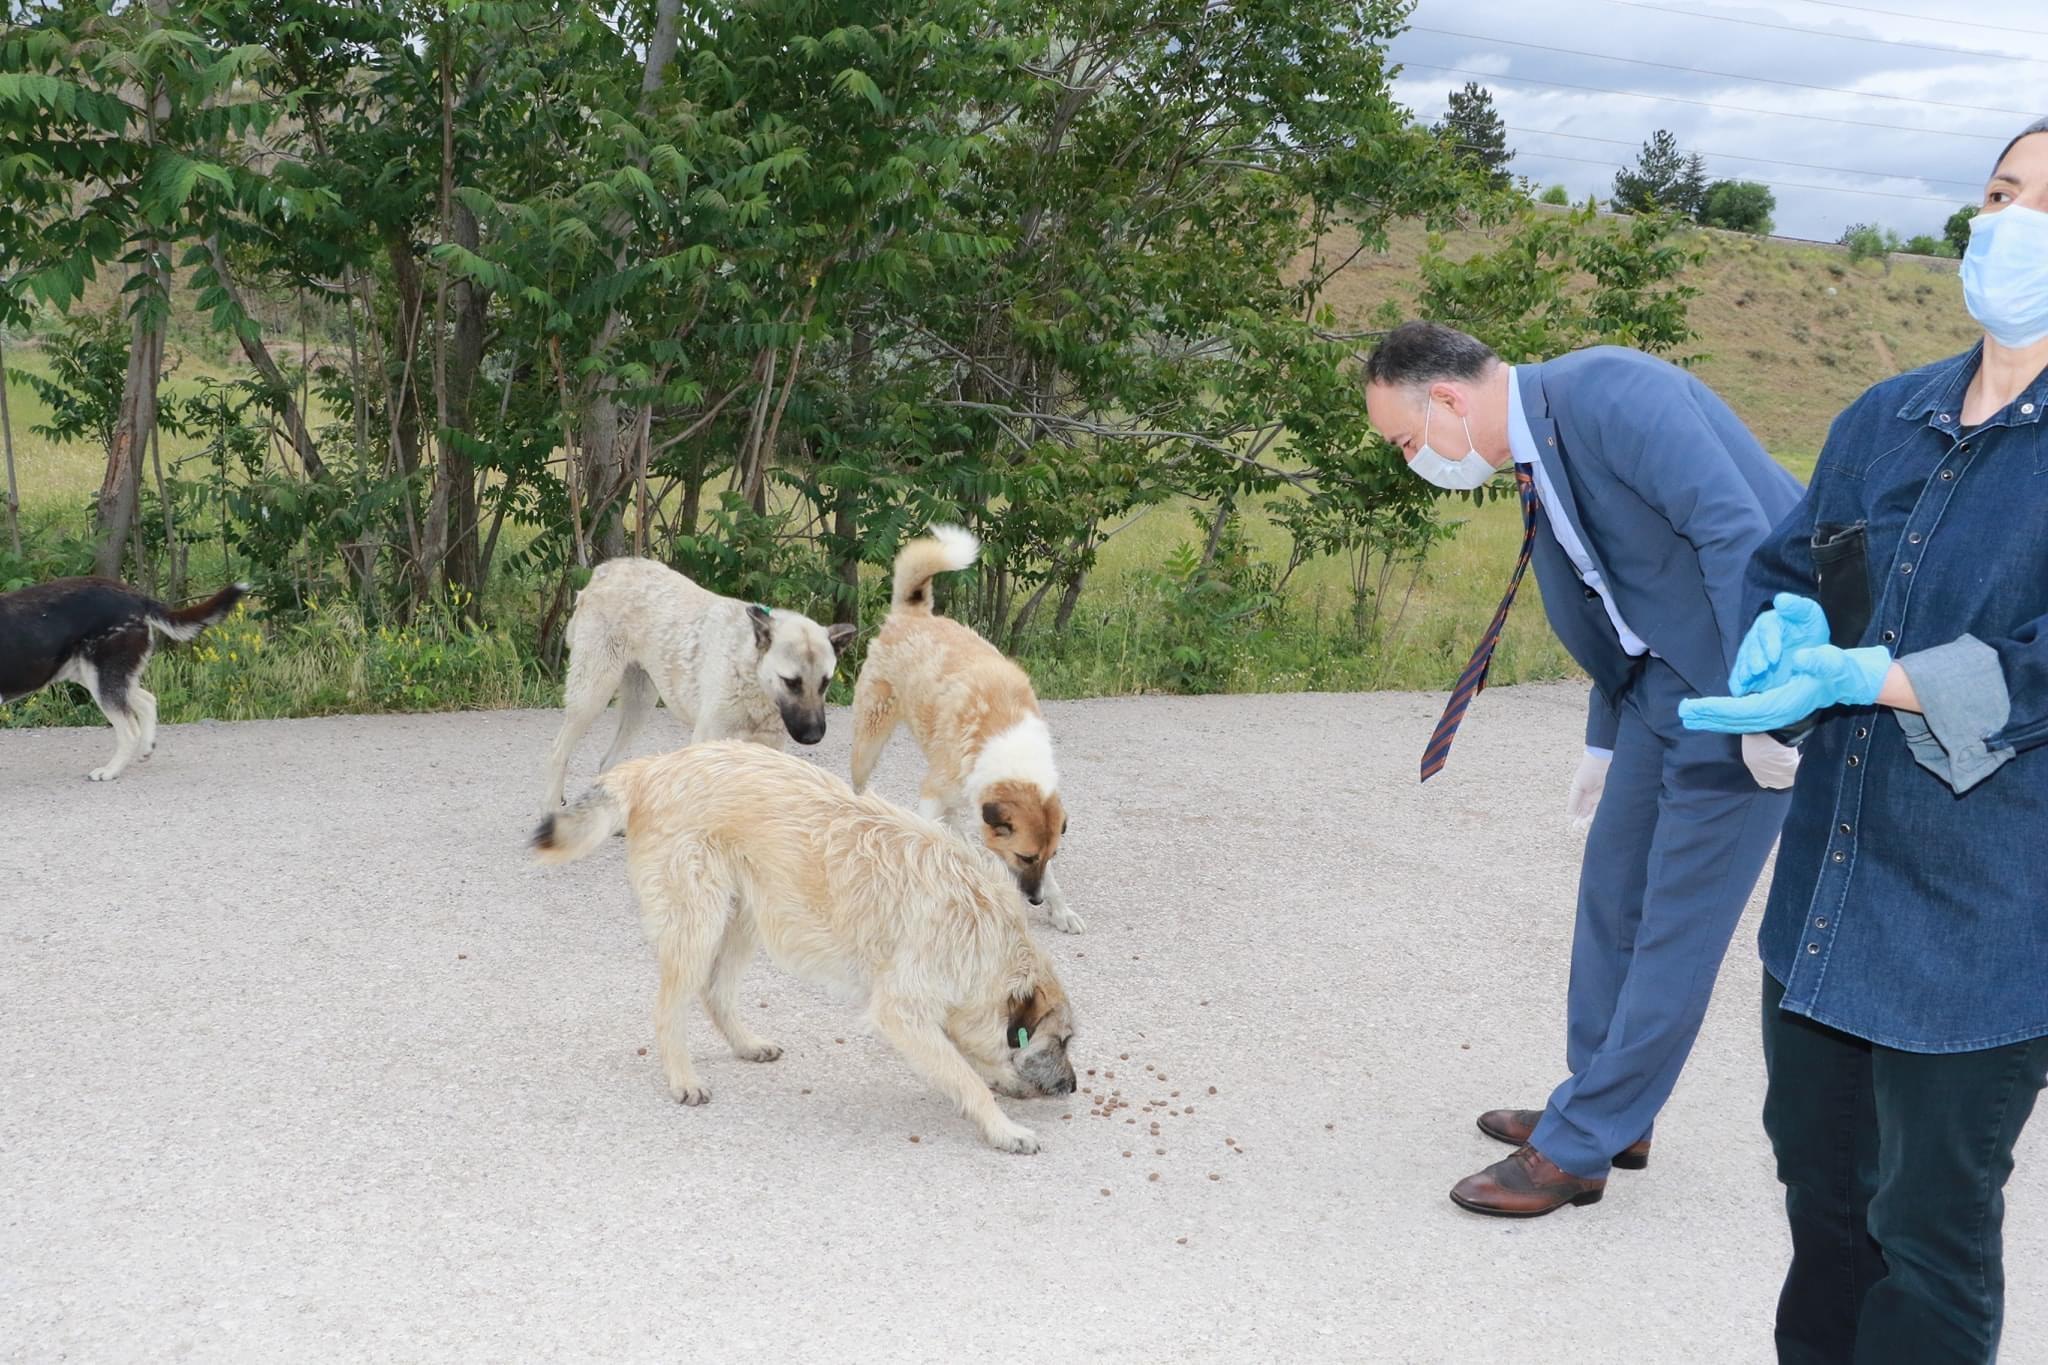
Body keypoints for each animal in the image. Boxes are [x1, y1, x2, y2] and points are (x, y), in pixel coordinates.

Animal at [0, 573, 246, 777]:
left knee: (129, 729)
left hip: (102, 680)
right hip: (101, 677)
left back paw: (110, 771)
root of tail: (136, 597)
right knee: (147, 700)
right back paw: (146, 748)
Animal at [528, 740, 1081, 1162]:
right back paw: (683, 1078)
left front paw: (1002, 1083)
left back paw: (746, 1044)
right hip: (699, 922)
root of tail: (655, 765)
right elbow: (963, 1076)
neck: (985, 932)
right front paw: (1003, 1127)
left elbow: (967, 1057)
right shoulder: (901, 1012)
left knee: (715, 992)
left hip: (747, 916)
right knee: (669, 1007)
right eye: (1064, 1041)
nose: (1074, 1086)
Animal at [540, 560, 851, 818]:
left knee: (607, 762)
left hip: (640, 704)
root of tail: (604, 571)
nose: (813, 737)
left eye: (825, 682)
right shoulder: (708, 742)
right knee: (558, 750)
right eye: (791, 682)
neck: (750, 674)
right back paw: (551, 809)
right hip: (592, 695)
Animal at [847, 527, 1081, 933]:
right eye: (1024, 856)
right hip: (870, 742)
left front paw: (1060, 910)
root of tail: (912, 613)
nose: (1034, 900)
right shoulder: (931, 794)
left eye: (1051, 855)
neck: (1005, 740)